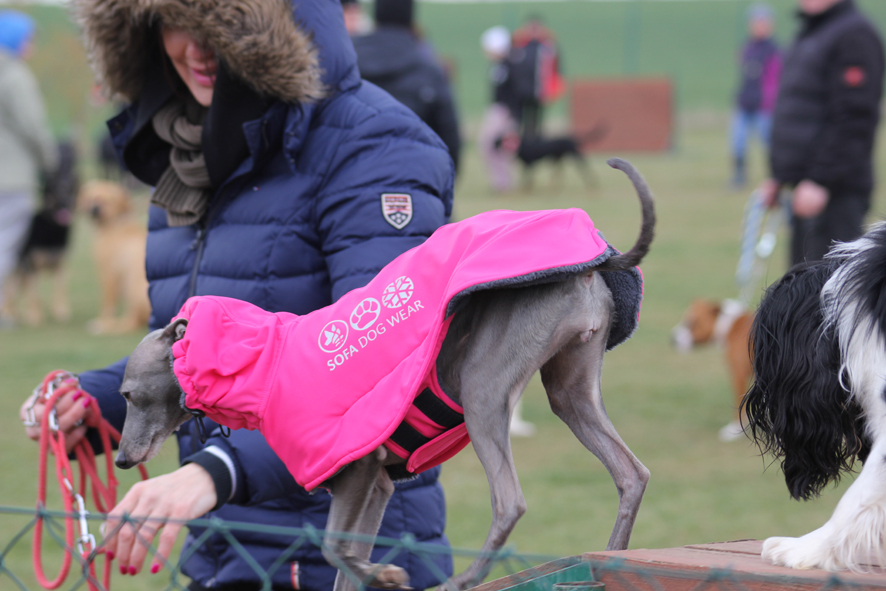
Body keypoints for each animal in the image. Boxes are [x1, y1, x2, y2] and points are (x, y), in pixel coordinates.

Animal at [79, 180, 152, 336]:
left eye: (108, 200)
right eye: (92, 197)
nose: (94, 209)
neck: (113, 225)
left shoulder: (108, 274)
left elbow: (108, 304)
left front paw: (104, 321)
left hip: (132, 286)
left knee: (131, 323)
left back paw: (105, 326)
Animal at [676, 300, 752, 440]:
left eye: (690, 323)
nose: (672, 339)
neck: (728, 326)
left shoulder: (738, 374)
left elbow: (738, 402)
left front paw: (735, 428)